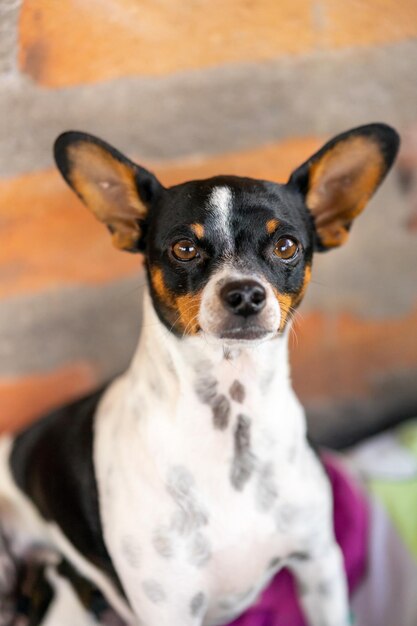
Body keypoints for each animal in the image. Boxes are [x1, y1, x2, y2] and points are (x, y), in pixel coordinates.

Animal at [0, 123, 398, 624]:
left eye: (286, 246)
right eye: (184, 248)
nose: (245, 293)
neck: (232, 418)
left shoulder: (319, 565)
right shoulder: (170, 608)